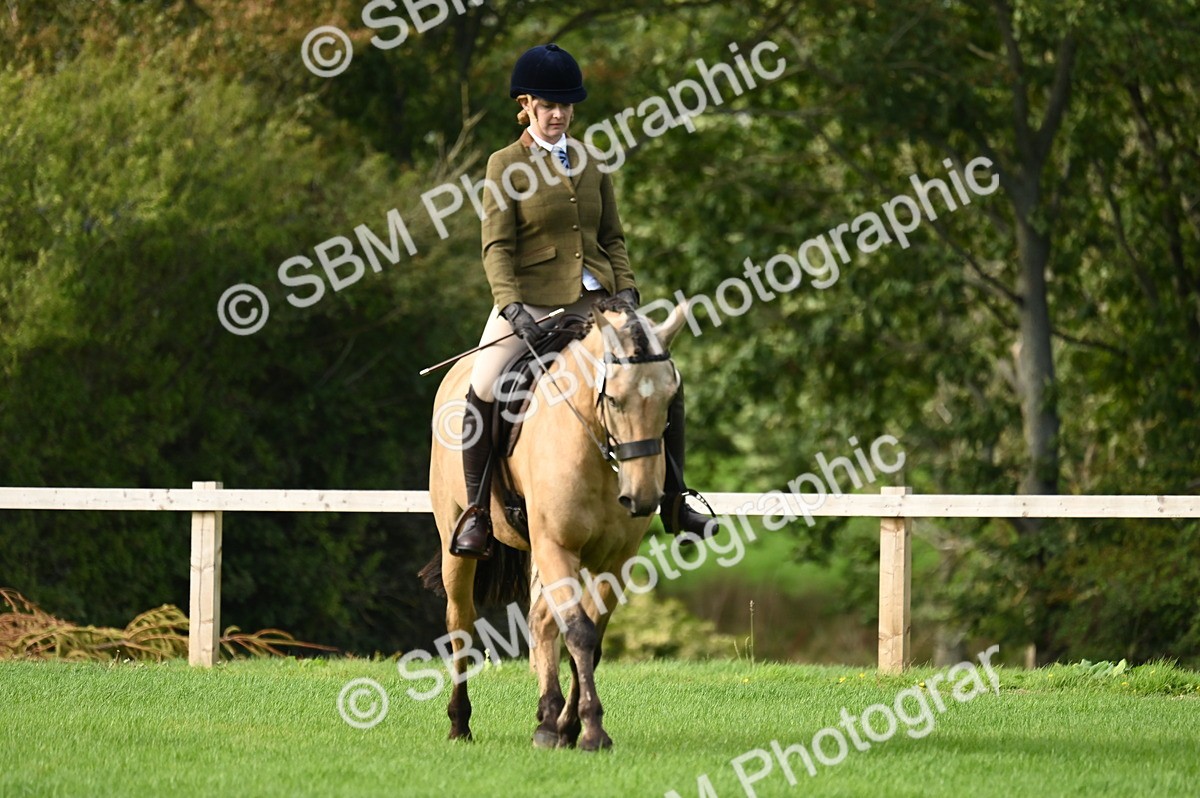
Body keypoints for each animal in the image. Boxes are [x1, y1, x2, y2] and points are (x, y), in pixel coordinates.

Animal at [421, 301, 691, 750]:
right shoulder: (557, 547)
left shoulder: (613, 560)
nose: (642, 497)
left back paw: (547, 718)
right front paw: (592, 730)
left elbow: (590, 640)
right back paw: (460, 723)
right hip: (457, 544)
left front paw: (566, 725)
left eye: (671, 400)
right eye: (614, 399)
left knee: (541, 623)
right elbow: (579, 633)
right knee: (460, 625)